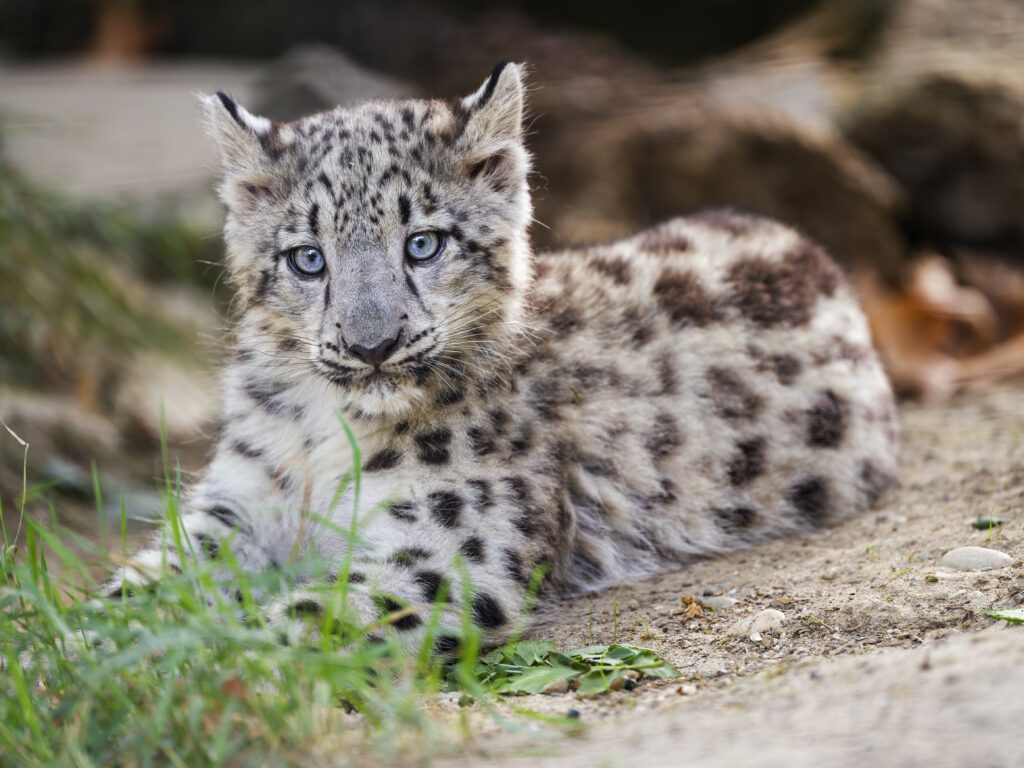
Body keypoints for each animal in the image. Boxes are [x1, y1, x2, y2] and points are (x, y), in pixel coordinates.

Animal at [107, 62, 898, 652]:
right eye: (307, 258)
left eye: (424, 243)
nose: (372, 345)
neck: (324, 432)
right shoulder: (236, 507)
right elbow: (146, 584)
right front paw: (96, 656)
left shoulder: (447, 547)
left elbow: (307, 622)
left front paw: (198, 667)